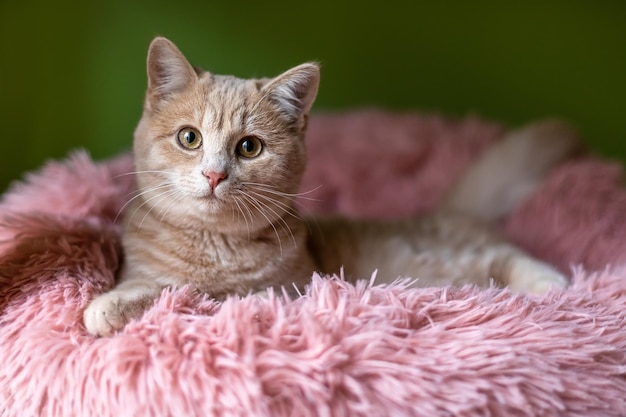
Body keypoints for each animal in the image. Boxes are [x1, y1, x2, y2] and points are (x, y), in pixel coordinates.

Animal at [84, 35, 580, 334]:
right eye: (190, 138)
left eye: (249, 147)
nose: (214, 173)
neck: (214, 247)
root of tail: (449, 213)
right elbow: (162, 286)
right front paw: (117, 302)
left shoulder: (285, 290)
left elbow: (194, 294)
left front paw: (110, 306)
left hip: (452, 257)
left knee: (504, 255)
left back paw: (553, 283)